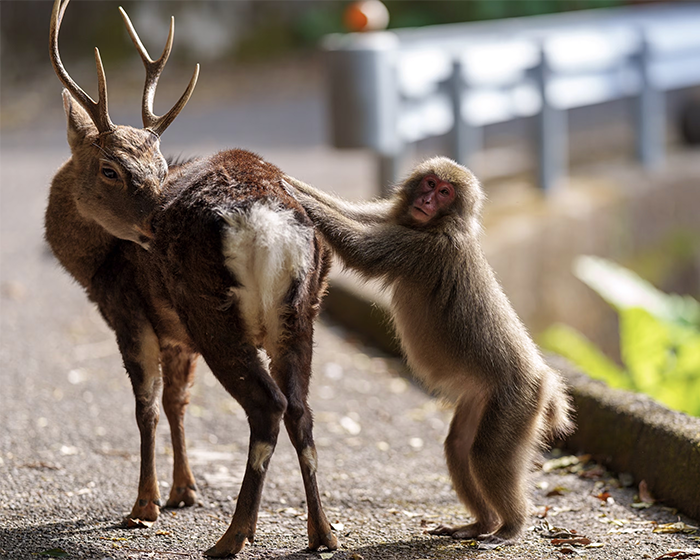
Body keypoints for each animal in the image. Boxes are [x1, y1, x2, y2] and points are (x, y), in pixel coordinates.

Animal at [46, 0, 338, 556]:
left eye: (160, 166)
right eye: (111, 169)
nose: (155, 219)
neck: (94, 264)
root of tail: (269, 220)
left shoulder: (129, 313)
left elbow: (146, 406)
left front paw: (144, 506)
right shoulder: (176, 335)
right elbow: (177, 401)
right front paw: (185, 491)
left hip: (212, 310)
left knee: (268, 406)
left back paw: (233, 536)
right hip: (302, 311)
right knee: (301, 409)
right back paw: (323, 532)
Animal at [282, 157, 574, 544]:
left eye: (445, 192)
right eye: (430, 184)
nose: (427, 200)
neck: (436, 224)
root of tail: (544, 378)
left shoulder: (426, 249)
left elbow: (361, 249)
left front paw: (290, 190)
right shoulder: (397, 220)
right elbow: (353, 214)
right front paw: (284, 179)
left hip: (517, 400)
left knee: (485, 455)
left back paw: (511, 526)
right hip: (481, 398)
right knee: (460, 448)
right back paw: (481, 523)